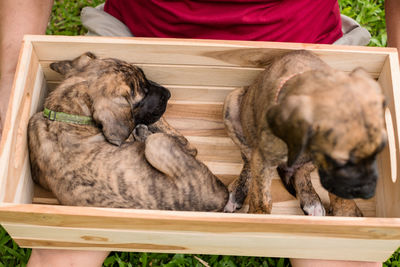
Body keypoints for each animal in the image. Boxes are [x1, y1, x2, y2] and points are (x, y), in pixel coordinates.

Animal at [27, 52, 228, 211]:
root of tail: (218, 199)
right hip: (158, 144)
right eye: (144, 92)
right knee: (185, 145)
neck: (65, 113)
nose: (169, 94)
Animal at [223, 50, 386, 217]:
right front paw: (259, 215)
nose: (368, 193)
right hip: (232, 103)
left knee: (302, 171)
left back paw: (311, 200)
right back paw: (236, 193)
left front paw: (346, 212)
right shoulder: (264, 159)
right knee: (248, 160)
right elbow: (261, 197)